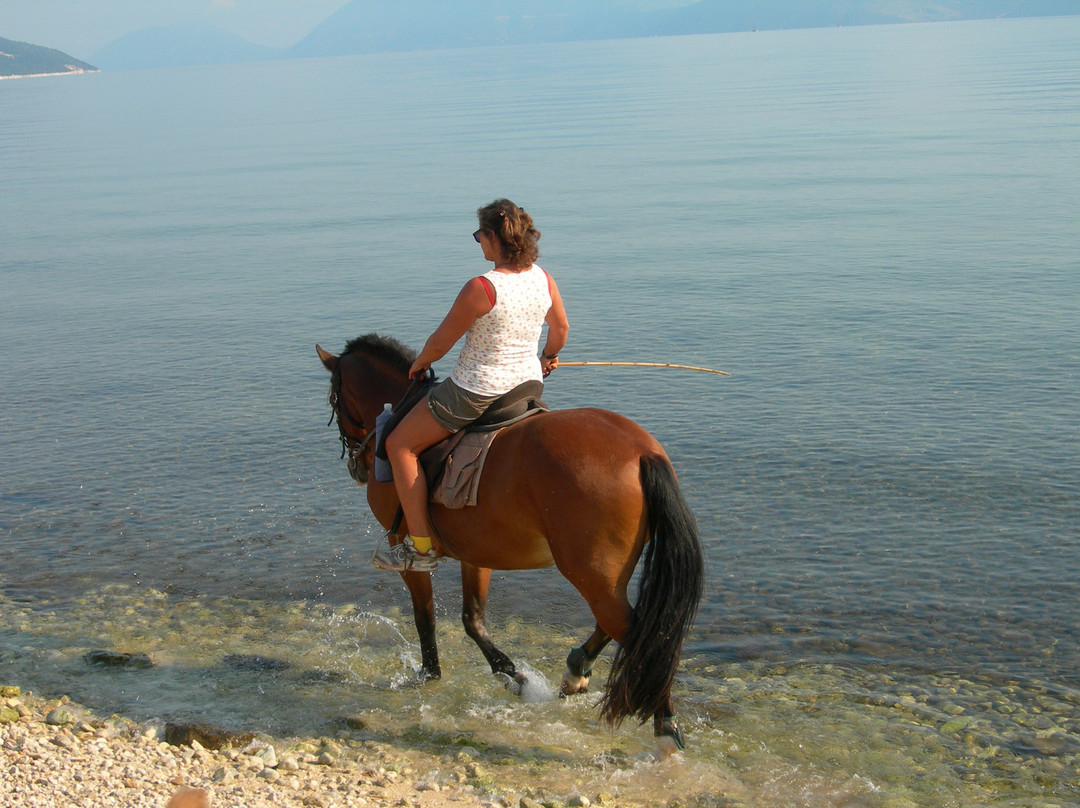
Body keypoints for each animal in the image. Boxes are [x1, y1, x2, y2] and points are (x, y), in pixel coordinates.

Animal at [316, 334, 704, 755]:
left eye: (334, 399)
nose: (357, 463)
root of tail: (642, 452)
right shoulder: (477, 551)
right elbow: (472, 619)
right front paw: (510, 674)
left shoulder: (404, 546)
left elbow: (425, 616)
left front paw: (430, 672)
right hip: (604, 575)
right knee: (624, 625)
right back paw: (577, 670)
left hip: (589, 572)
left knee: (638, 634)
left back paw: (664, 728)